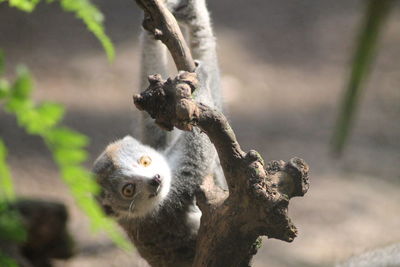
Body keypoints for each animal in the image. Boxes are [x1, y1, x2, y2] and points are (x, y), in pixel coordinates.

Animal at [94, 1, 225, 266]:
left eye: (145, 161)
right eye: (128, 190)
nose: (154, 179)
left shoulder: (158, 140)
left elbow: (156, 120)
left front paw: (169, 17)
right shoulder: (172, 199)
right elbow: (200, 151)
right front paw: (201, 75)